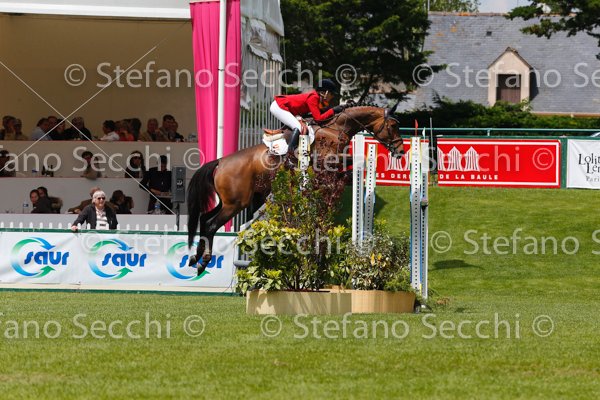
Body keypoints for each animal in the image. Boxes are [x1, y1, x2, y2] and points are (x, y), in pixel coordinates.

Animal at [187, 105, 406, 274]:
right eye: (393, 126)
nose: (400, 152)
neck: (336, 128)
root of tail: (220, 162)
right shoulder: (327, 161)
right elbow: (352, 160)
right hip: (235, 203)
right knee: (211, 225)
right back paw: (203, 261)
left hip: (228, 202)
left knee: (204, 220)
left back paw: (194, 258)